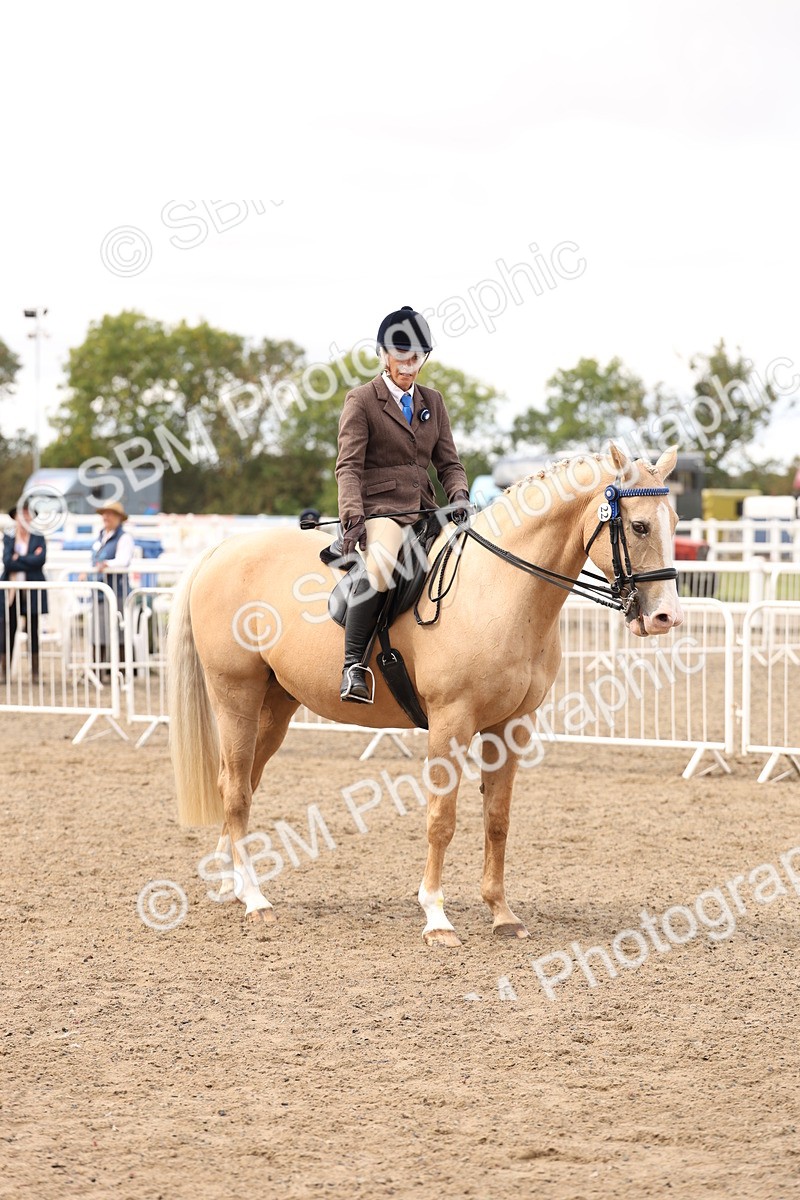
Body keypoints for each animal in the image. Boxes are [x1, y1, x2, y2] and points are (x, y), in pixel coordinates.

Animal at [167, 445, 683, 946]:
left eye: (675, 522)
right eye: (638, 526)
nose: (665, 619)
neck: (500, 589)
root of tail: (221, 550)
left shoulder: (511, 726)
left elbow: (497, 819)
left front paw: (502, 914)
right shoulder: (451, 723)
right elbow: (442, 819)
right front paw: (436, 917)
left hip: (275, 707)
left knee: (242, 782)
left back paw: (231, 885)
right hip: (236, 695)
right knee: (235, 790)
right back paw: (255, 899)